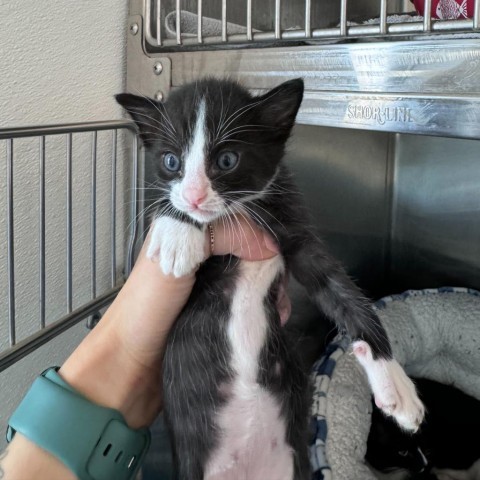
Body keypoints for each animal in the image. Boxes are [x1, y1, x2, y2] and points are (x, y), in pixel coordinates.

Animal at [116, 79, 424, 480]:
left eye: (227, 160)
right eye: (171, 161)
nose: (195, 196)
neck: (244, 210)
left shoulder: (296, 231)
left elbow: (344, 294)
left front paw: (394, 384)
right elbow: (158, 200)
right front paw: (178, 232)